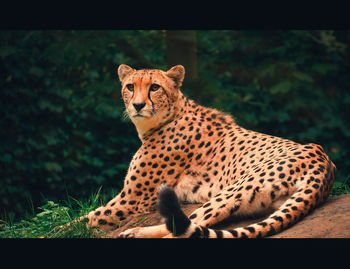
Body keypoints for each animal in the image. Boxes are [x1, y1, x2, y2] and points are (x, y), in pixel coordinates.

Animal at [80, 63, 336, 238]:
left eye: (154, 87)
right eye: (130, 87)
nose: (138, 105)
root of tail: (324, 160)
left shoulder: (132, 199)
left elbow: (85, 219)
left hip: (233, 190)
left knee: (185, 227)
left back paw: (136, 232)